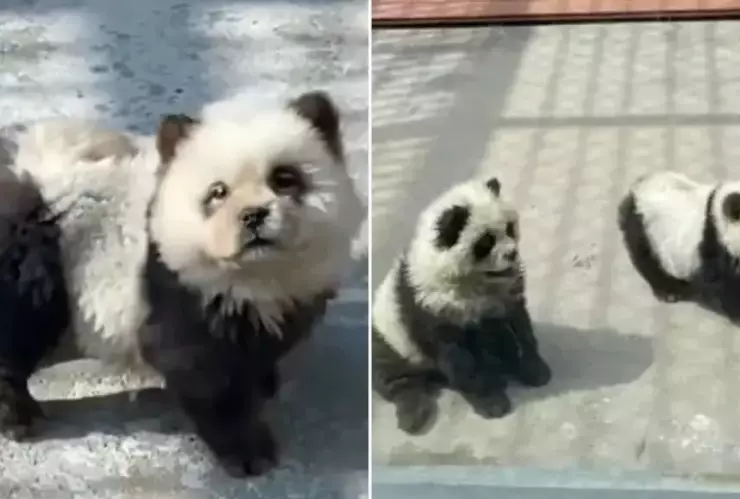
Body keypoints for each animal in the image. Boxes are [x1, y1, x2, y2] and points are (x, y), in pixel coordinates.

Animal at [0, 90, 365, 477]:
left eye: (284, 178)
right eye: (217, 192)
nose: (253, 216)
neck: (256, 272)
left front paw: (264, 382)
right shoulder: (179, 296)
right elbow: (206, 378)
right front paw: (248, 450)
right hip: (36, 260)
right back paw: (19, 418)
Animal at [372, 177, 551, 435]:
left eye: (509, 228)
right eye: (486, 241)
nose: (512, 254)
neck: (474, 280)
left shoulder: (506, 294)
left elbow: (518, 324)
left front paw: (535, 369)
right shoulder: (431, 304)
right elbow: (457, 357)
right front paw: (492, 403)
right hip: (390, 340)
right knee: (393, 376)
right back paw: (413, 414)